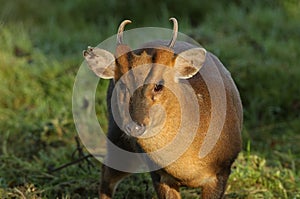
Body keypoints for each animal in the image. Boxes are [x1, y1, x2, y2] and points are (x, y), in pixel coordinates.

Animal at [83, 17, 243, 198]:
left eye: (158, 85)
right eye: (122, 84)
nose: (135, 126)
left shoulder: (222, 169)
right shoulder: (159, 174)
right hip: (118, 136)